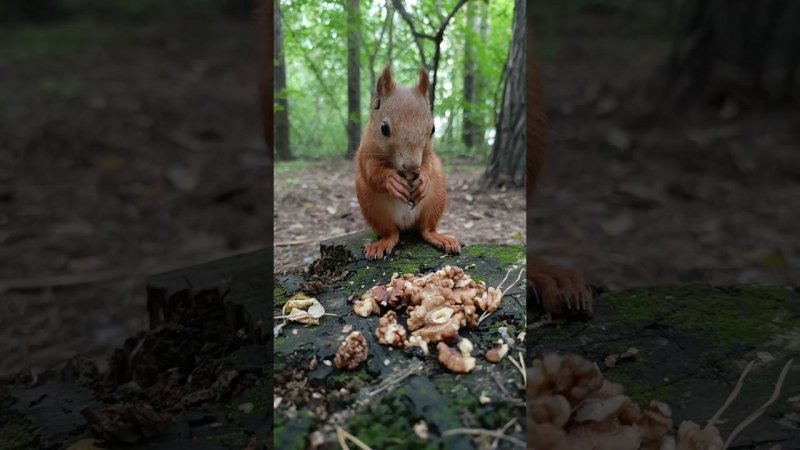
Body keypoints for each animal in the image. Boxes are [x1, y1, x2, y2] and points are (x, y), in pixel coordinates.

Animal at [354, 64, 460, 260]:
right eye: (384, 128)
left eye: (433, 129)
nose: (411, 166)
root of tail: (406, 224)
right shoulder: (365, 153)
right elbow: (372, 172)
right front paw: (391, 180)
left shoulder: (429, 155)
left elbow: (429, 166)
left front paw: (423, 179)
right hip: (373, 208)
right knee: (391, 233)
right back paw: (381, 244)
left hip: (435, 200)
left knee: (426, 229)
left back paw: (440, 238)